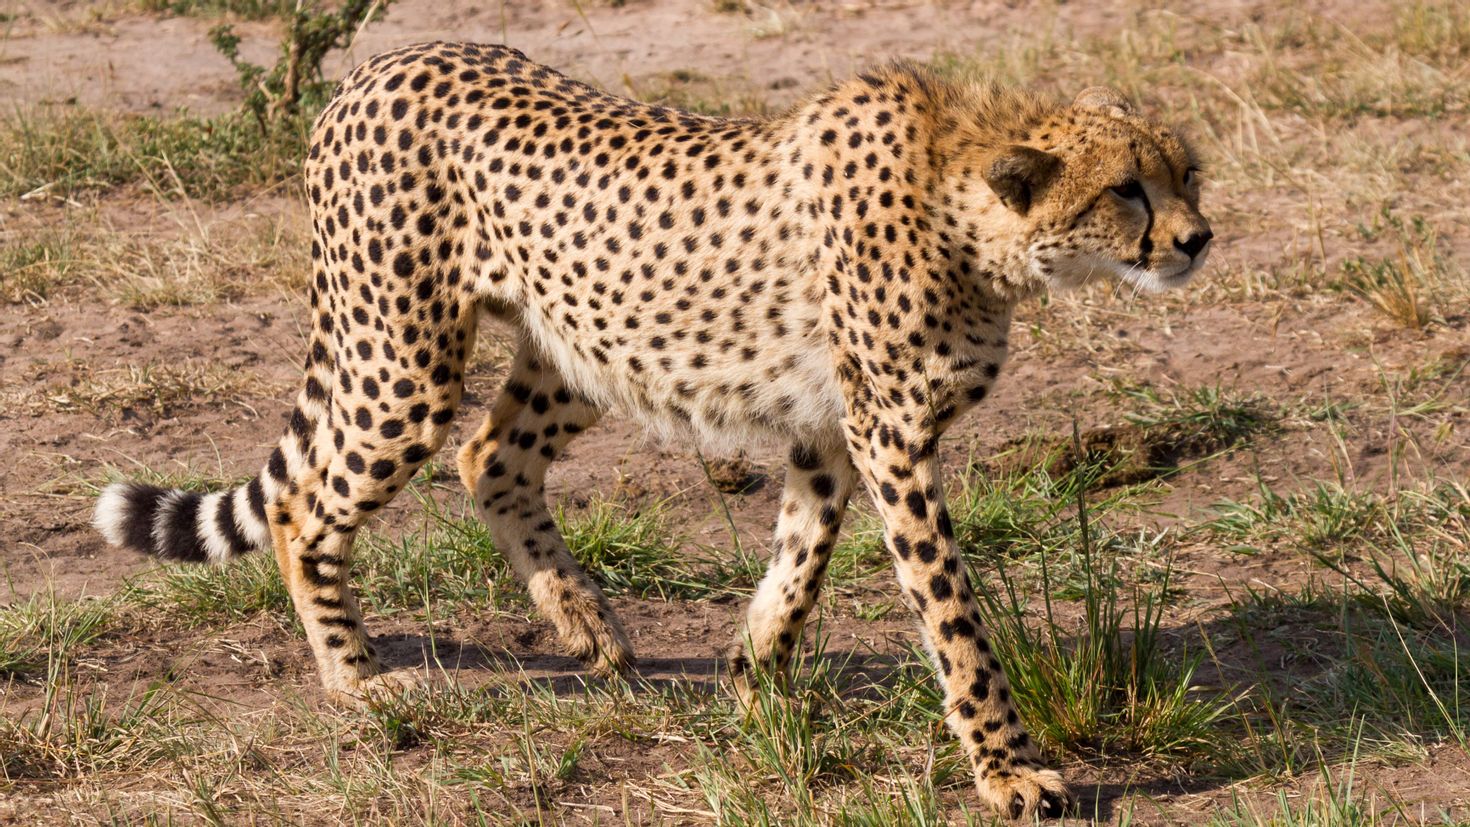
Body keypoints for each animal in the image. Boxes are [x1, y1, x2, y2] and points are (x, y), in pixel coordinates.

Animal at [94, 42, 1217, 816]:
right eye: (1127, 189)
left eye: (1188, 175)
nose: (1199, 238)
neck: (966, 207)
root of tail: (376, 66)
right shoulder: (891, 434)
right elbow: (952, 614)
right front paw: (1008, 768)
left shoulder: (830, 430)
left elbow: (800, 556)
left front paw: (755, 677)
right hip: (403, 359)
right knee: (304, 503)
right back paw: (354, 675)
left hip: (583, 344)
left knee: (488, 456)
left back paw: (586, 622)